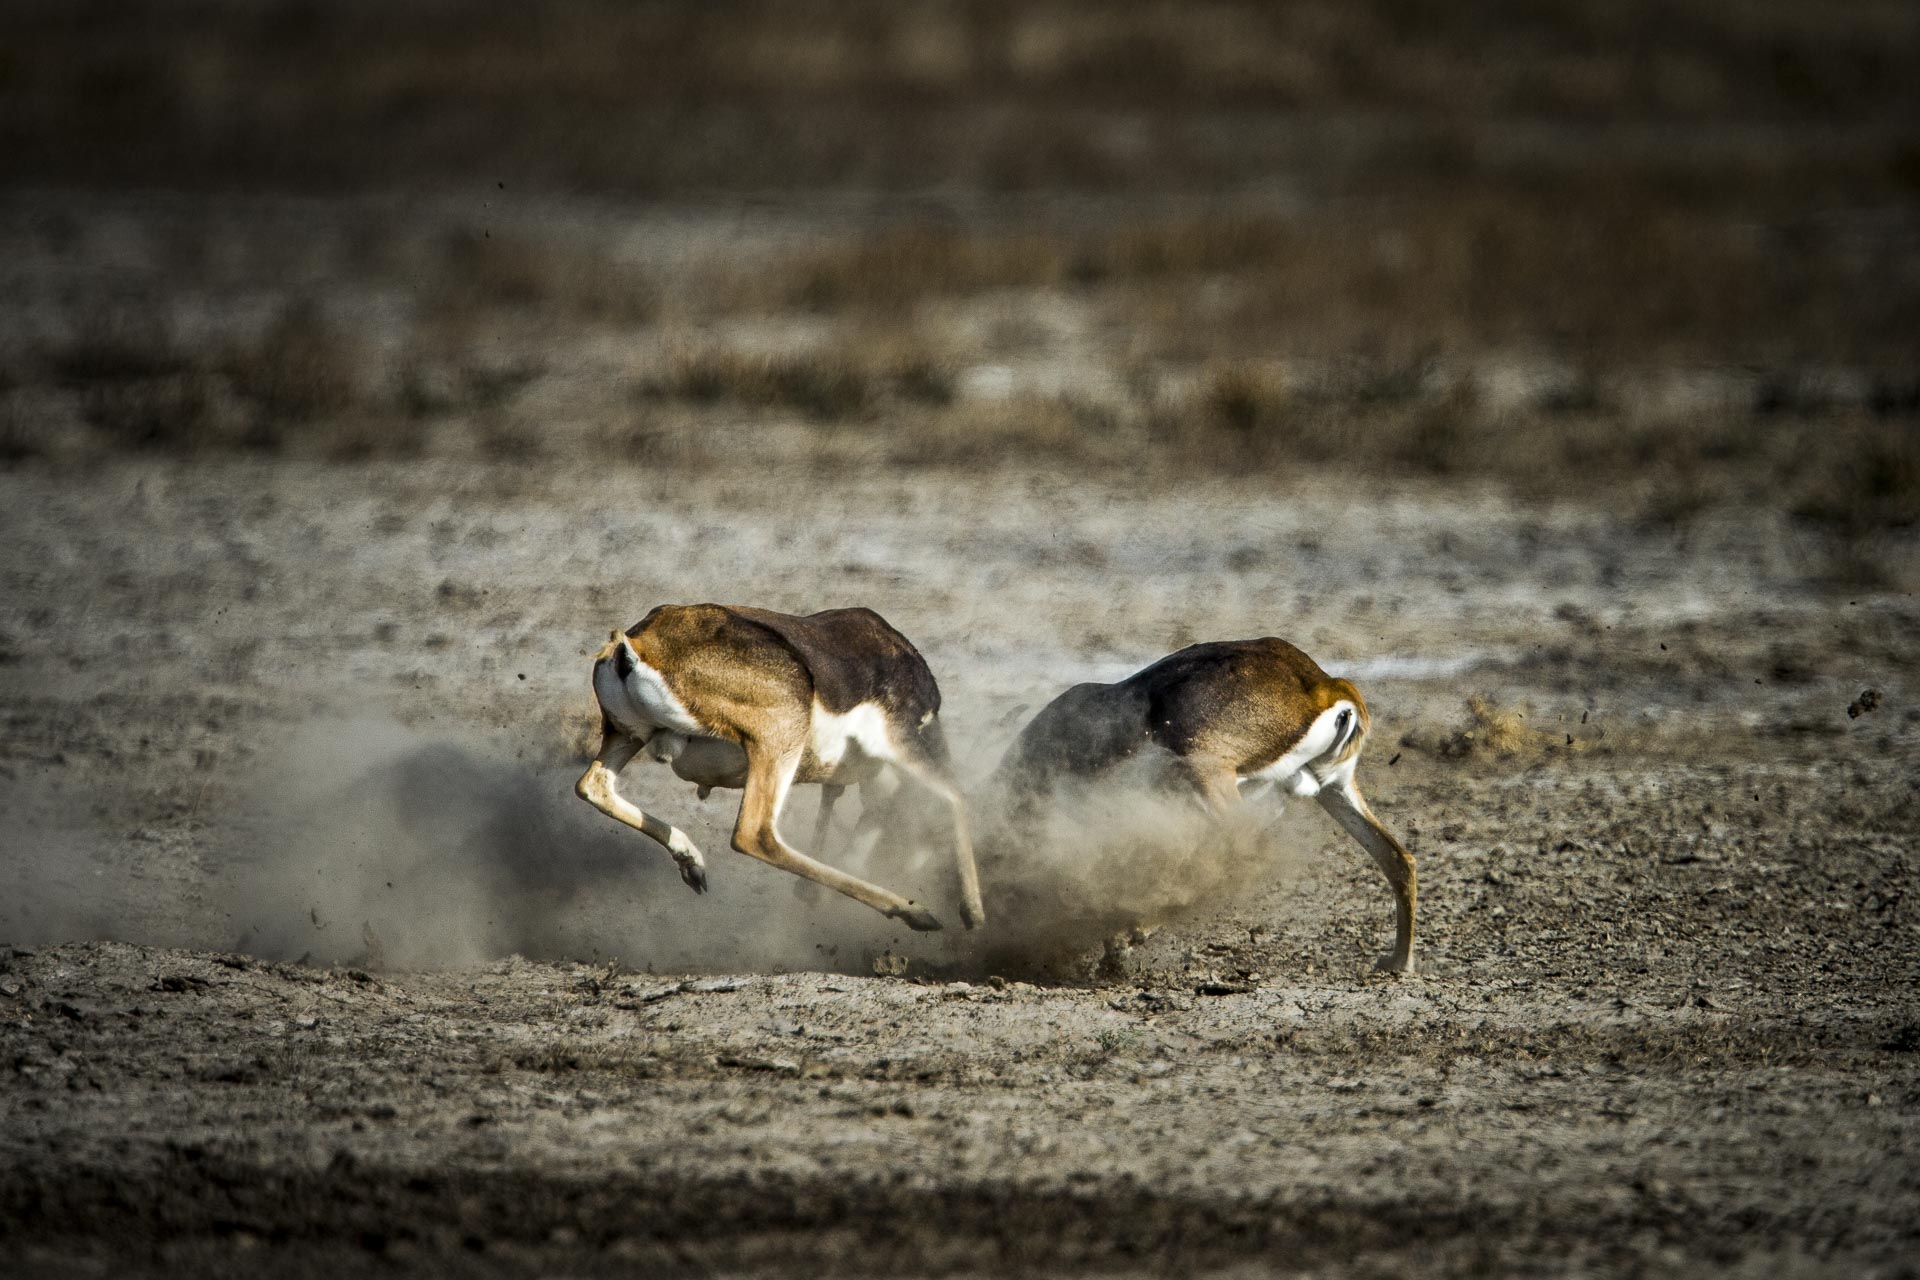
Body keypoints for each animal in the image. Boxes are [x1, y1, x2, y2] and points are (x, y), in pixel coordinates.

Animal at [576, 606, 983, 936]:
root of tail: (635, 647)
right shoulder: (899, 742)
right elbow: (954, 796)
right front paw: (972, 914)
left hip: (626, 737)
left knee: (590, 786)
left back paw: (693, 863)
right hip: (780, 739)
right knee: (754, 834)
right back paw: (914, 911)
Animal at [998, 637, 1420, 974]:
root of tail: (1324, 688)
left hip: (1212, 779)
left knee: (1237, 855)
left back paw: (1127, 936)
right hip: (1330, 789)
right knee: (1399, 858)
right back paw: (1398, 963)